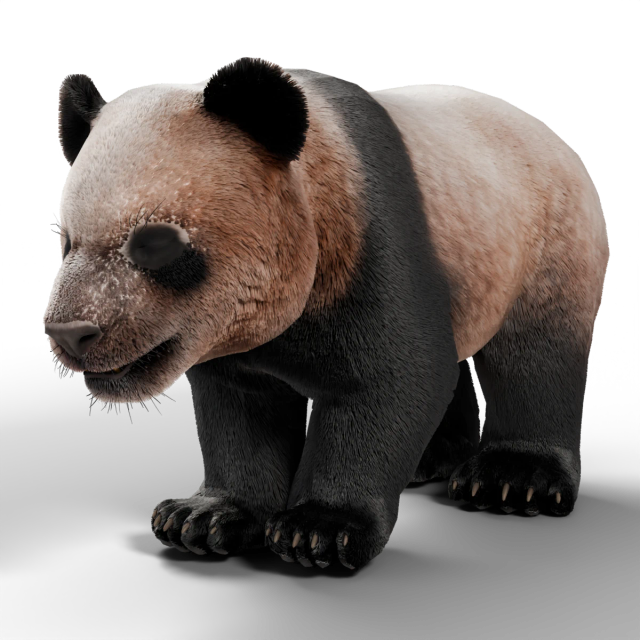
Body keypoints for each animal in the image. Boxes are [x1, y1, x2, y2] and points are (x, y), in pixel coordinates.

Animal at [44, 57, 609, 571]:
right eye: (65, 239)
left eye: (156, 243)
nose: (70, 333)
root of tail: (548, 131)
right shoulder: (229, 331)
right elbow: (240, 407)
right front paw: (204, 517)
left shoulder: (370, 243)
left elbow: (394, 377)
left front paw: (320, 529)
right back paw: (437, 454)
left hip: (543, 237)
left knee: (535, 354)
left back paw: (513, 477)